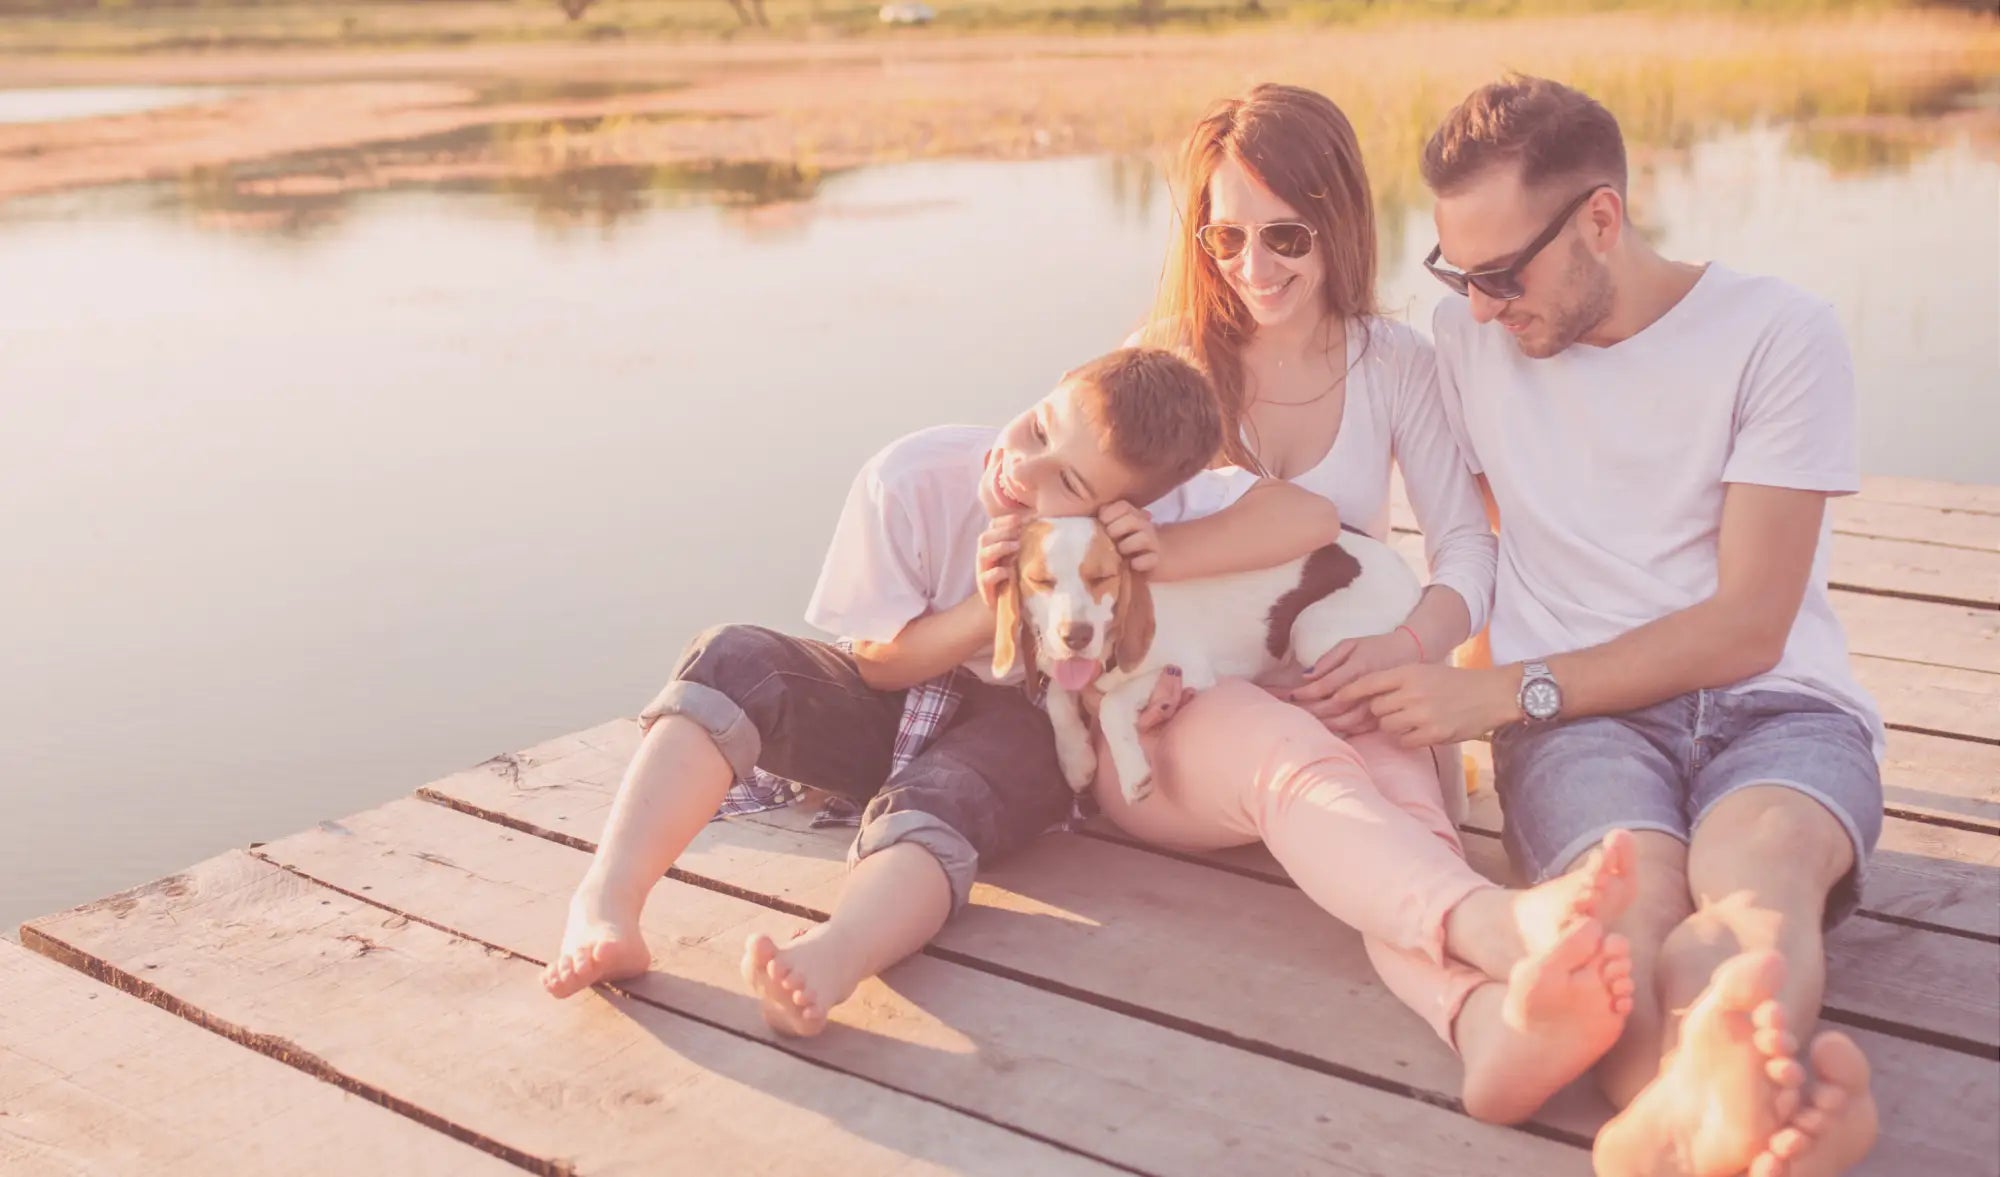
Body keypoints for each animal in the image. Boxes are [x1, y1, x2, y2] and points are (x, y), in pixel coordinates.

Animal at [992, 520, 1416, 804]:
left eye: (1102, 578)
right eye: (1041, 581)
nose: (1076, 636)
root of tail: (1404, 568)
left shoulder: (1189, 668)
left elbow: (1112, 703)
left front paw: (1132, 774)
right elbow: (1057, 699)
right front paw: (1076, 760)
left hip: (1313, 634)